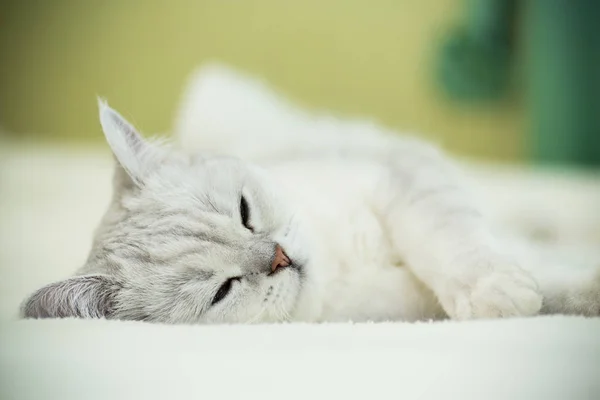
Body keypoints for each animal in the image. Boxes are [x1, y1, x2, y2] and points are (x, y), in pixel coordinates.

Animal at [18, 65, 600, 322]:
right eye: (223, 290)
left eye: (245, 212)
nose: (279, 256)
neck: (339, 263)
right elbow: (558, 289)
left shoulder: (401, 173)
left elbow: (449, 240)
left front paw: (494, 288)